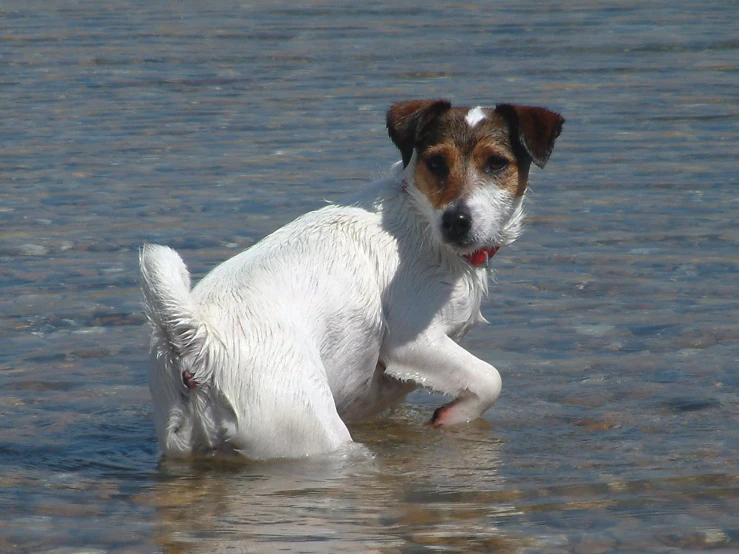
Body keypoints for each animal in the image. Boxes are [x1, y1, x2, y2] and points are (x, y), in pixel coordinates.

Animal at [140, 98, 568, 458]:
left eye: (496, 163)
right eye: (435, 163)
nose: (456, 221)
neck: (421, 218)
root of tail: (199, 341)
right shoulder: (413, 343)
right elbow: (489, 378)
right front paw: (452, 416)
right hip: (316, 435)